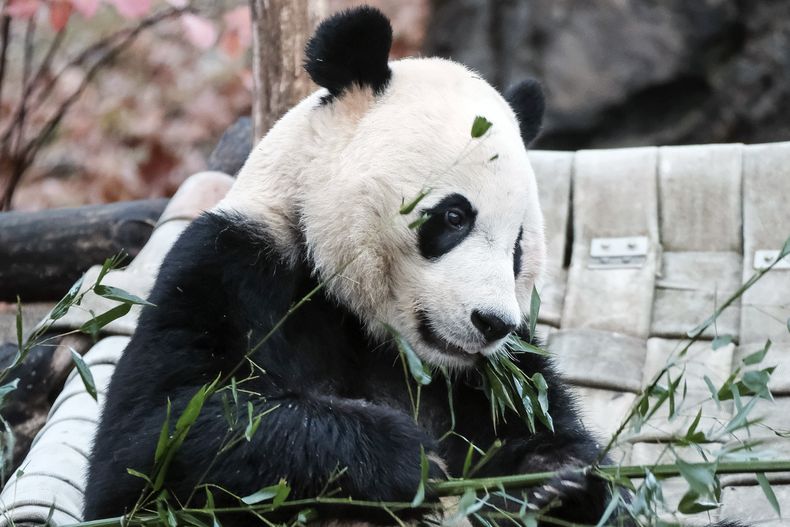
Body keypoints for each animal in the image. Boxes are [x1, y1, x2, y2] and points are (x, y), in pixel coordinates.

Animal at [83, 6, 616, 525]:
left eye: (518, 246)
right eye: (455, 217)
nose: (492, 323)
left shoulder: (501, 371)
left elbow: (539, 418)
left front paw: (550, 475)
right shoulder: (231, 265)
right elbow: (154, 438)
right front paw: (407, 457)